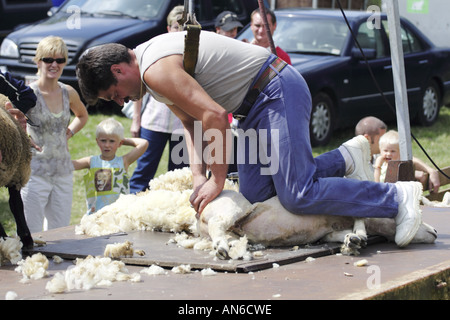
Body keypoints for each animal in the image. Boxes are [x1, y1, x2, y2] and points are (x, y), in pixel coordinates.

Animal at [76, 166, 436, 258]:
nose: (434, 232)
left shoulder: (329, 227)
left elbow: (345, 230)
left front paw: (351, 242)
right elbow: (359, 217)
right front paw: (358, 239)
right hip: (232, 209)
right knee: (222, 229)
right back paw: (223, 249)